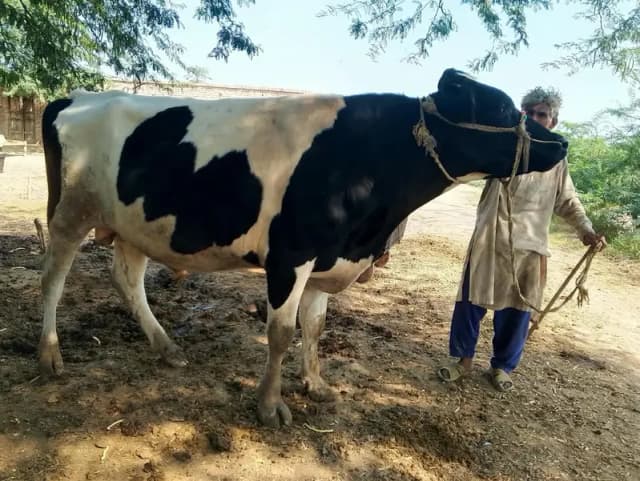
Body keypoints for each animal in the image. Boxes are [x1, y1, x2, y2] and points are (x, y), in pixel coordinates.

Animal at [39, 68, 568, 427]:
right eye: (503, 109)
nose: (561, 142)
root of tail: (77, 97)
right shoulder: (290, 256)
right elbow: (280, 332)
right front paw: (270, 405)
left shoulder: (327, 261)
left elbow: (314, 328)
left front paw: (316, 385)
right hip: (70, 211)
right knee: (52, 279)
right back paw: (50, 355)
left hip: (135, 224)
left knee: (127, 281)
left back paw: (167, 348)